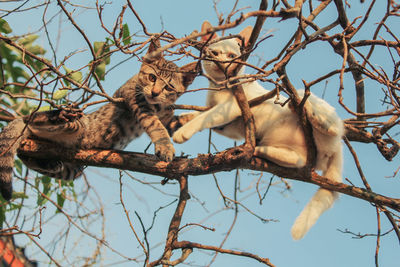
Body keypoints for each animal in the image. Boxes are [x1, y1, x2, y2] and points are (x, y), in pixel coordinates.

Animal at [0, 38, 198, 200]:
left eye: (169, 87)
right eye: (152, 77)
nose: (155, 93)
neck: (157, 106)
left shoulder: (168, 118)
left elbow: (182, 121)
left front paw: (200, 118)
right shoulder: (136, 100)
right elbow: (155, 124)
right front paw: (165, 147)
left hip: (74, 170)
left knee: (27, 156)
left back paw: (47, 162)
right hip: (73, 124)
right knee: (30, 120)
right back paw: (58, 115)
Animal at [173, 21, 346, 241]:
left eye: (231, 56)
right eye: (215, 53)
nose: (222, 64)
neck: (220, 87)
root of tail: (338, 149)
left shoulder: (231, 107)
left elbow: (204, 117)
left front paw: (183, 131)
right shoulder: (226, 126)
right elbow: (200, 114)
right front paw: (179, 120)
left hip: (312, 107)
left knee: (329, 125)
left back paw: (305, 112)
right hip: (297, 151)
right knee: (297, 160)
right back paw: (257, 149)